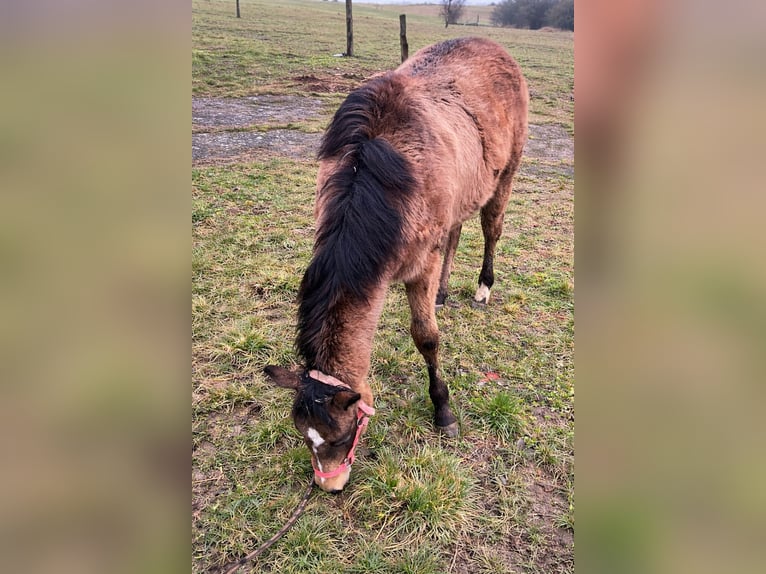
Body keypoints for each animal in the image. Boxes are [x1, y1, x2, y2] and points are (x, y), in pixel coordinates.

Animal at [265, 37, 528, 493]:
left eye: (343, 434)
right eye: (303, 435)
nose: (330, 486)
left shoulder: (420, 265)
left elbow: (426, 338)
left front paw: (443, 411)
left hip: (505, 175)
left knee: (491, 230)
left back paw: (483, 288)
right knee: (455, 232)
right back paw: (443, 292)